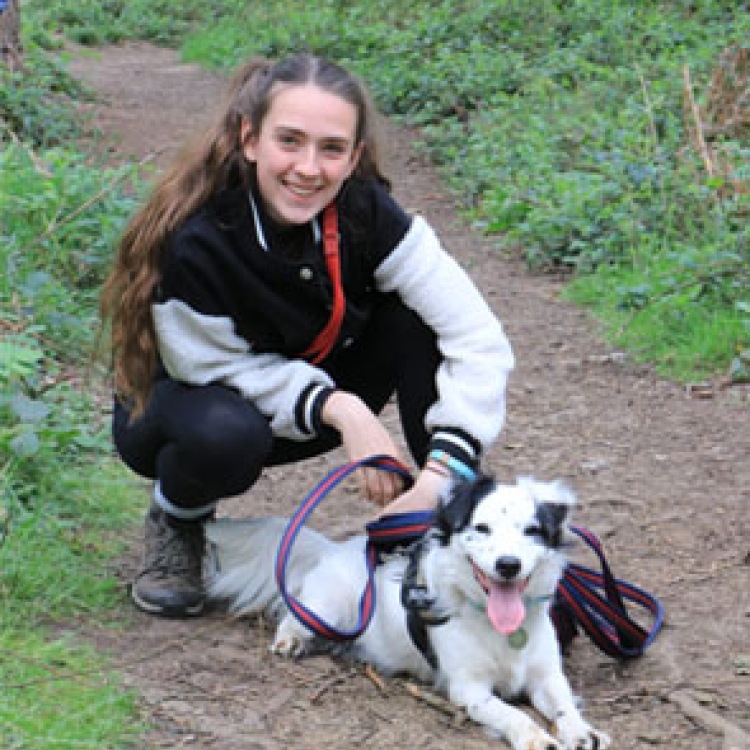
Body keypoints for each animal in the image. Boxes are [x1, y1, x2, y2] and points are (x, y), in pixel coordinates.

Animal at [206, 478, 612, 748]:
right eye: (481, 528)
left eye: (532, 531)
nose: (508, 565)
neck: (498, 628)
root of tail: (335, 549)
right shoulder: (469, 689)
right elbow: (513, 713)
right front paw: (536, 738)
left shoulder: (547, 675)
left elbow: (564, 704)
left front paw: (582, 732)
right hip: (328, 608)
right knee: (296, 617)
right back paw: (290, 640)